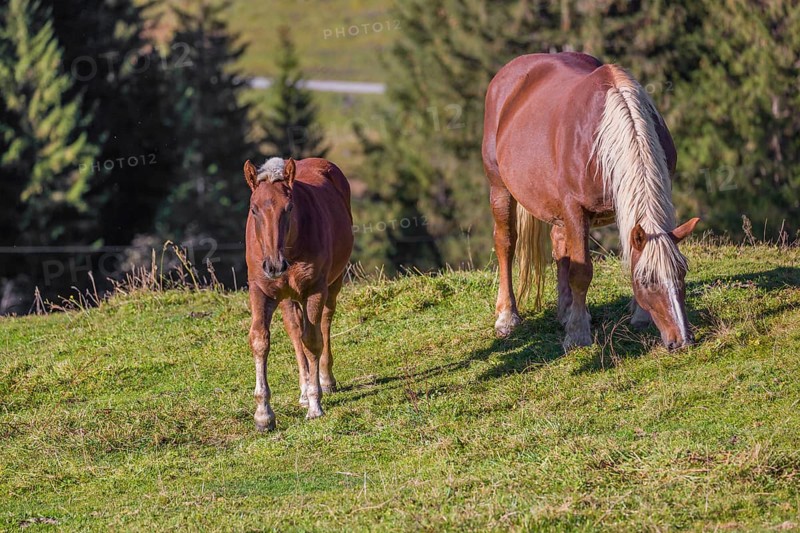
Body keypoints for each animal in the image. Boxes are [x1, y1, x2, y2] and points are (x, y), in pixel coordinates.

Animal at [244, 156, 353, 431]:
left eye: (289, 207)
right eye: (254, 209)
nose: (273, 266)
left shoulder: (315, 289)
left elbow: (313, 340)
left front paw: (316, 404)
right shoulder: (260, 291)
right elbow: (260, 340)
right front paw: (263, 415)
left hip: (332, 283)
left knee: (324, 322)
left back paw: (325, 381)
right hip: (287, 297)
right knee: (295, 330)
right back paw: (303, 391)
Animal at [482, 52, 700, 350]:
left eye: (682, 272)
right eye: (647, 280)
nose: (682, 340)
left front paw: (639, 317)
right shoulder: (575, 208)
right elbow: (581, 272)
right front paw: (577, 334)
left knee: (559, 244)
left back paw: (566, 311)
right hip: (499, 187)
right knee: (505, 243)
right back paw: (507, 317)